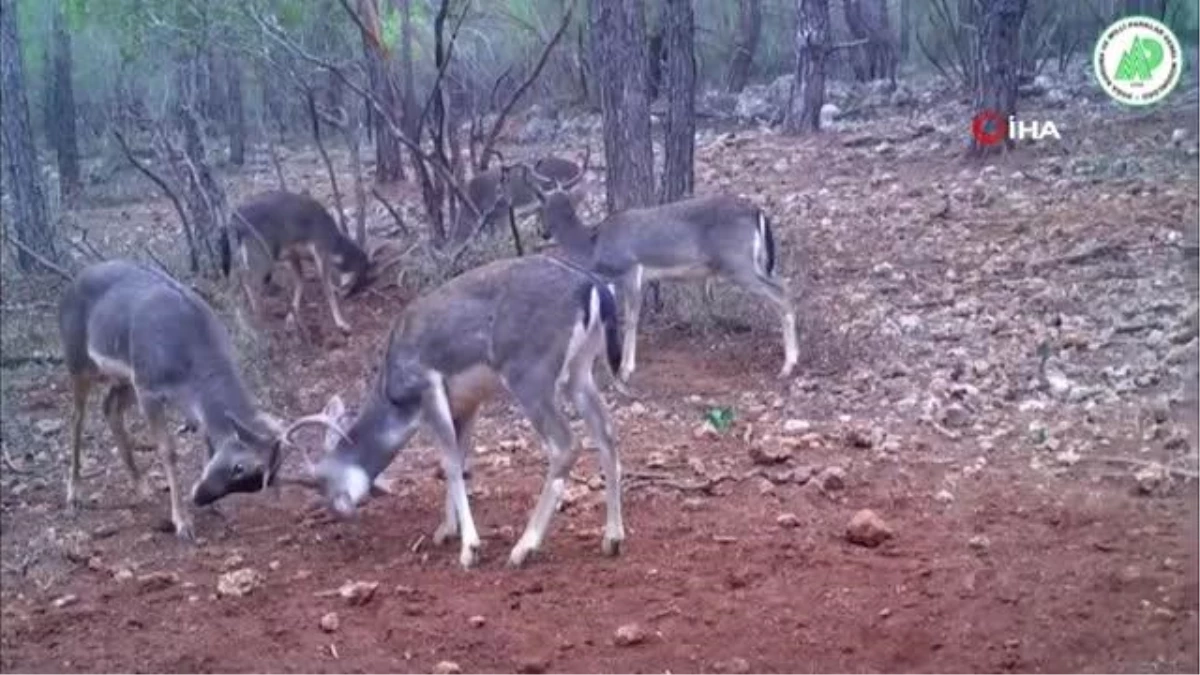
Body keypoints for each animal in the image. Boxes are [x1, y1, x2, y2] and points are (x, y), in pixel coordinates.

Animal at [58, 260, 295, 538]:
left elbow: (206, 443)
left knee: (109, 407)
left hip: (125, 377)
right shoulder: (148, 387)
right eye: (240, 467)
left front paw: (215, 509)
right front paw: (182, 523)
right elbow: (168, 451)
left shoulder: (169, 396)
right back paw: (74, 494)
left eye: (258, 484)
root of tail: (72, 284)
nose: (200, 498)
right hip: (79, 361)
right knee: (77, 417)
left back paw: (141, 486)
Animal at [218, 189, 400, 333]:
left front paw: (291, 318)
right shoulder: (320, 248)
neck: (334, 243)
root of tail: (233, 220)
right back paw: (253, 321)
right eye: (361, 278)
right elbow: (326, 288)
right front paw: (342, 323)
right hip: (261, 252)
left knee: (236, 279)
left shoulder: (293, 254)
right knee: (246, 281)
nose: (346, 295)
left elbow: (301, 281)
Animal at [273, 252, 628, 566]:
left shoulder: (428, 387)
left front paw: (469, 548)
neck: (394, 394)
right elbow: (458, 456)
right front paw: (446, 530)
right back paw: (612, 538)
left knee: (566, 443)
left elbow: (451, 463)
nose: (341, 512)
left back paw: (523, 548)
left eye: (323, 482)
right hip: (579, 370)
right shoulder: (467, 402)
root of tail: (594, 286)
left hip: (530, 372)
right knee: (606, 430)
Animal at [513, 164, 796, 381]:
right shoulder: (617, 279)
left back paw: (788, 366)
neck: (594, 245)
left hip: (737, 262)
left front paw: (626, 369)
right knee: (783, 282)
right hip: (756, 262)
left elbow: (631, 318)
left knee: (782, 293)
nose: (543, 233)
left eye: (540, 209)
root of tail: (758, 212)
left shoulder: (631, 268)